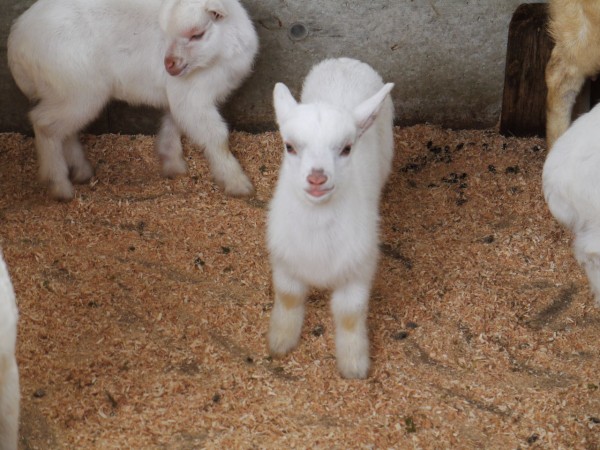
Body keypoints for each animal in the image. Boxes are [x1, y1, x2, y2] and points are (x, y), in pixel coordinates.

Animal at [8, 0, 258, 200]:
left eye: (197, 34)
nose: (169, 65)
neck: (221, 55)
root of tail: (16, 45)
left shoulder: (180, 96)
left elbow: (173, 122)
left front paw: (172, 163)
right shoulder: (193, 98)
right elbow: (217, 137)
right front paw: (237, 182)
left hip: (66, 94)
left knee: (63, 130)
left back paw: (81, 171)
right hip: (76, 90)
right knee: (44, 124)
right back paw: (60, 186)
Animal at [268, 57, 394, 380]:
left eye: (347, 148)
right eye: (289, 146)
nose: (317, 178)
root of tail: (345, 61)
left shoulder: (358, 271)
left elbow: (349, 315)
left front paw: (354, 364)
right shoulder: (285, 265)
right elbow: (288, 297)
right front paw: (281, 340)